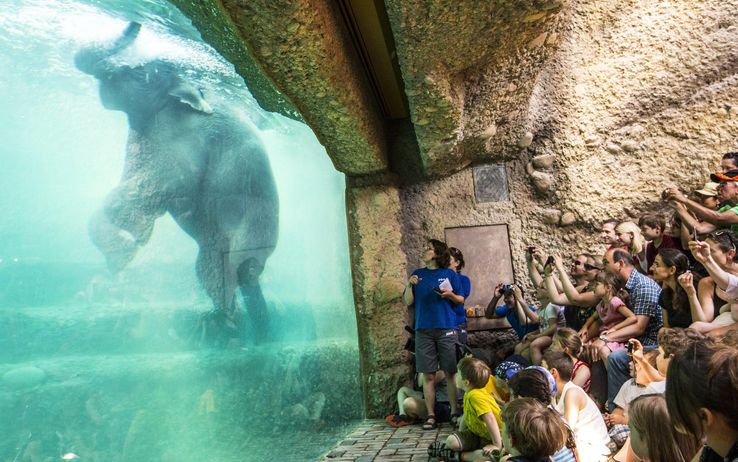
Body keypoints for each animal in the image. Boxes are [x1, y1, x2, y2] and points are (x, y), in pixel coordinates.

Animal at [75, 22, 279, 342]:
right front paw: (125, 250)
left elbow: (152, 188)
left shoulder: (184, 137)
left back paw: (225, 328)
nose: (136, 25)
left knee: (220, 275)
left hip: (247, 237)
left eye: (140, 74)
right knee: (214, 275)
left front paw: (123, 254)